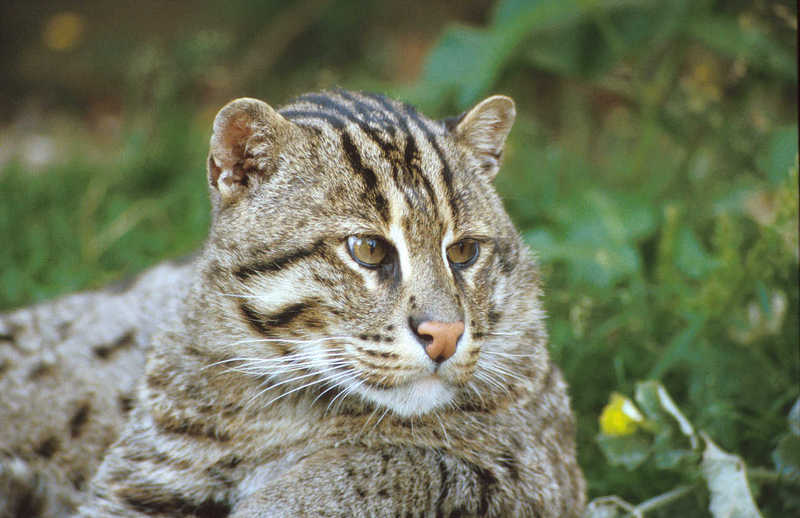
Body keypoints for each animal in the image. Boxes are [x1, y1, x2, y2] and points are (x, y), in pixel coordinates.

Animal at [1, 90, 588, 518]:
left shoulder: (541, 470)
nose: (445, 334)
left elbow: (403, 462)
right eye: (367, 249)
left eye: (464, 252)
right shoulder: (140, 485)